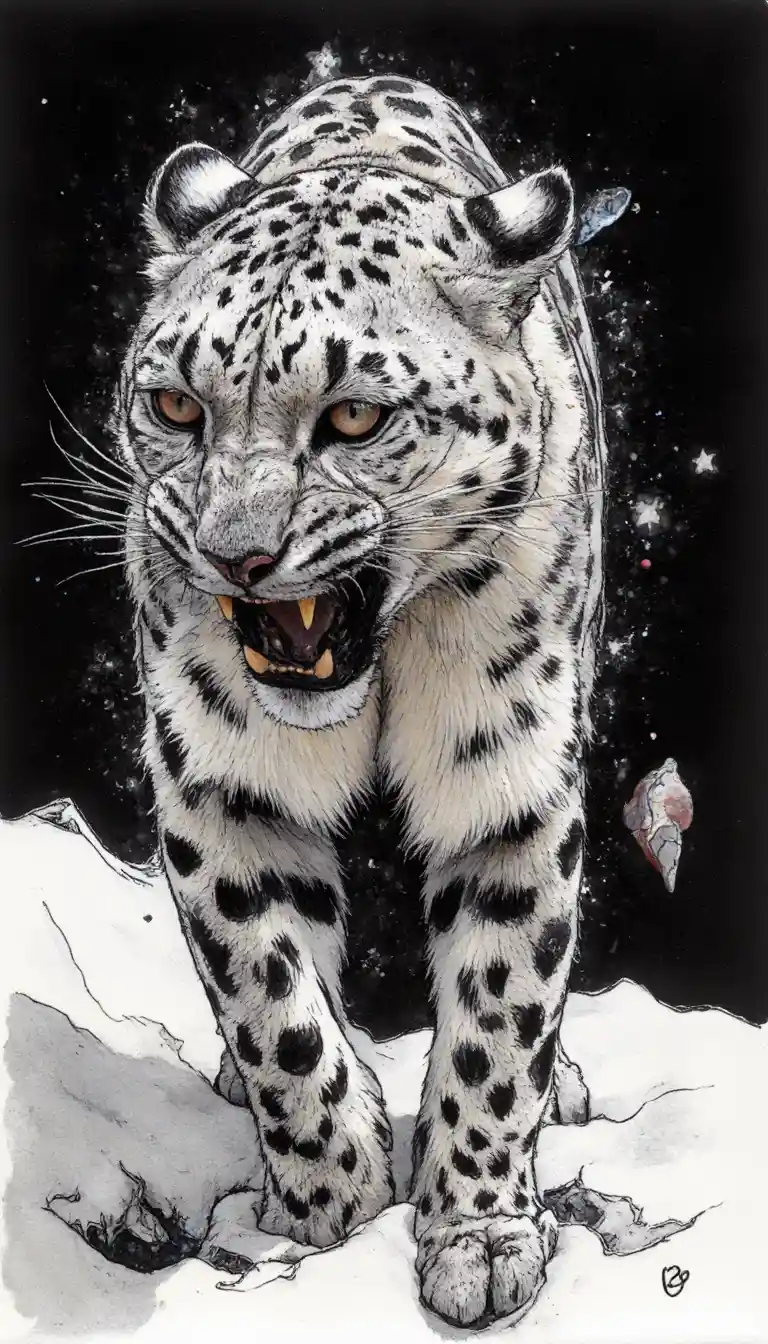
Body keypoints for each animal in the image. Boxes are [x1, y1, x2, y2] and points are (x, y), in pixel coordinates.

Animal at [114, 72, 605, 1327]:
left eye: (352, 417)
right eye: (176, 407)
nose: (236, 555)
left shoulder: (510, 786)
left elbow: (499, 1016)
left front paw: (479, 1238)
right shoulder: (220, 780)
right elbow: (273, 997)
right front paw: (332, 1190)